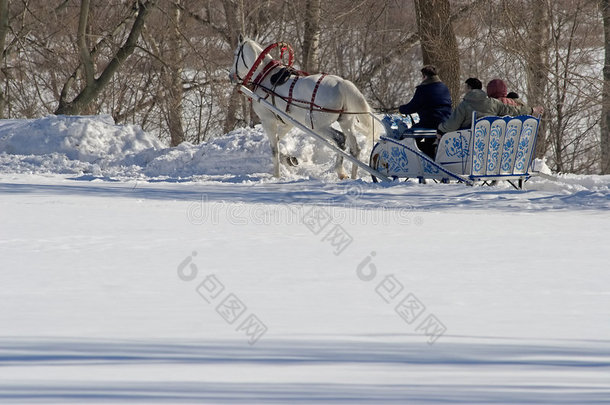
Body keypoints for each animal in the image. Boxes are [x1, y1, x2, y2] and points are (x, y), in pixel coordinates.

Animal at [229, 36, 378, 178]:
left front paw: (276, 175)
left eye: (236, 54)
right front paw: (288, 159)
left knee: (341, 140)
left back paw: (340, 171)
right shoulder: (288, 123)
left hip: (317, 125)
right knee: (355, 149)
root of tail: (342, 84)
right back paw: (353, 177)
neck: (264, 76)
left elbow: (274, 148)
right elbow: (277, 141)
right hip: (345, 122)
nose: (231, 76)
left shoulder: (268, 120)